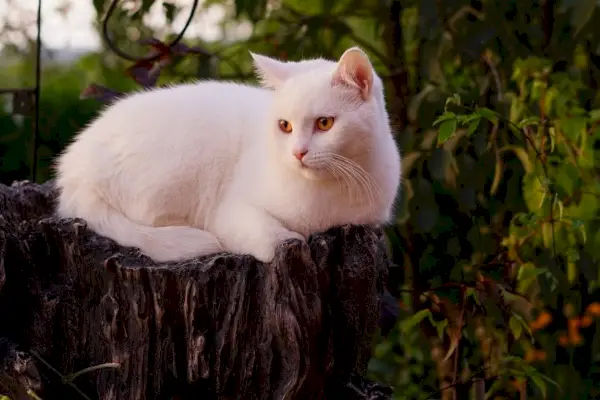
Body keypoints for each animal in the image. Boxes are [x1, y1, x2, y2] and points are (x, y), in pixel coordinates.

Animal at [54, 47, 400, 264]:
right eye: (284, 126)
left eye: (325, 123)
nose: (298, 152)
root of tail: (72, 172)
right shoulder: (229, 213)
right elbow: (278, 239)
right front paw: (291, 238)